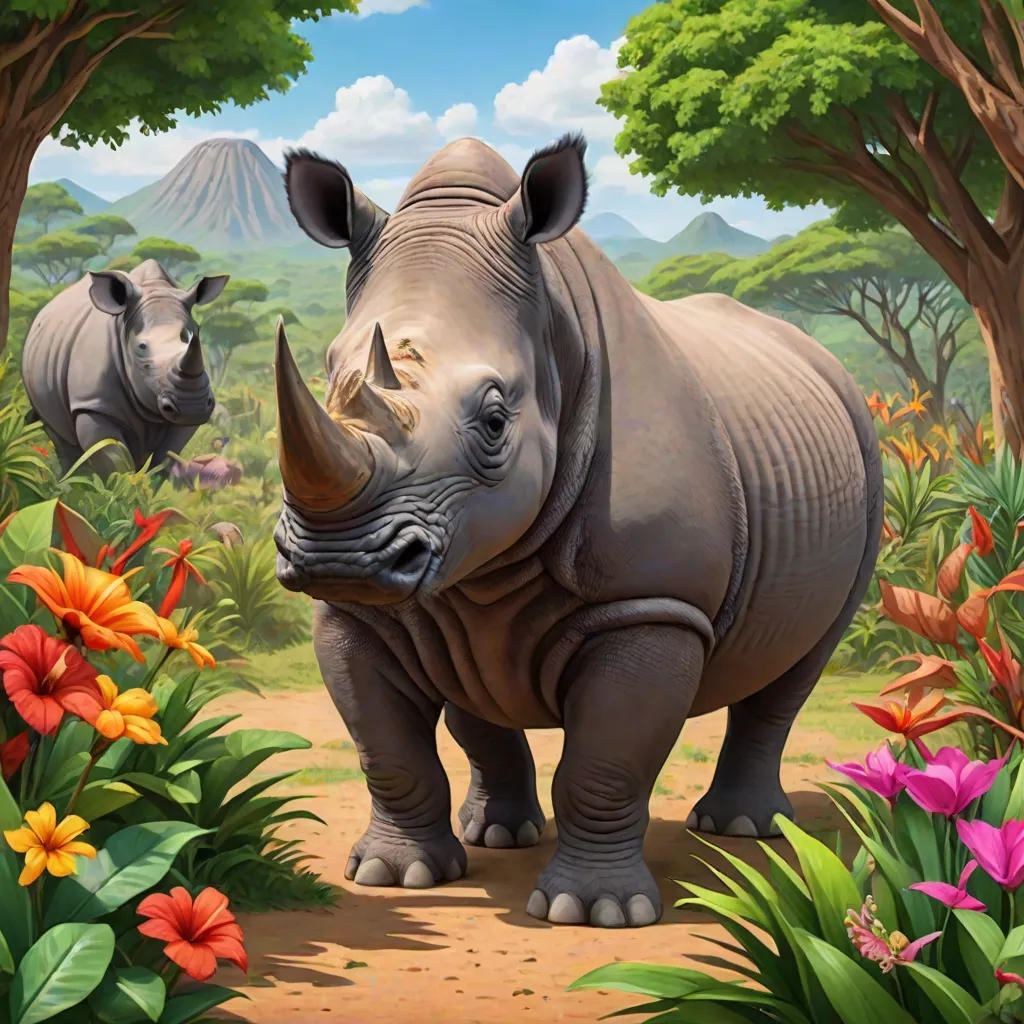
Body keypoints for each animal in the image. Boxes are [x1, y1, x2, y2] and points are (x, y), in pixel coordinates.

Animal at [20, 259, 229, 476]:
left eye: (195, 338)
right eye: (142, 347)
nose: (192, 406)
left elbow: (164, 458)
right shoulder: (92, 404)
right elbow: (115, 463)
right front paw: (124, 484)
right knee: (60, 438)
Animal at [272, 134, 883, 929]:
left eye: (495, 420)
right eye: (326, 380)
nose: (338, 559)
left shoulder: (651, 603)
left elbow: (605, 763)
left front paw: (592, 913)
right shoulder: (360, 610)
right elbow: (388, 750)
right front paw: (393, 877)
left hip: (865, 458)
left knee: (800, 664)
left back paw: (744, 830)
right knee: (471, 683)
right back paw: (498, 835)